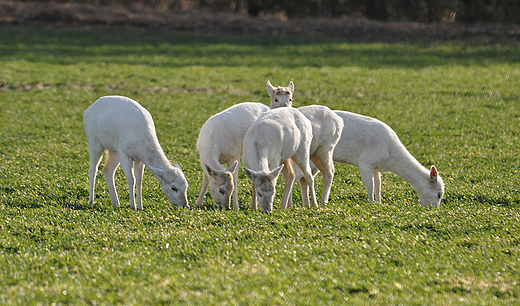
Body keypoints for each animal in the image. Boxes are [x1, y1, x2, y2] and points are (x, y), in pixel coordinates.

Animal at [294, 110, 444, 208]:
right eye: (439, 194)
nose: (433, 209)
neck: (391, 159)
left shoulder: (377, 167)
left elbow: (378, 184)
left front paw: (379, 202)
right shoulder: (365, 161)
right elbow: (369, 184)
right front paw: (372, 203)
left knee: (304, 179)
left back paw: (306, 204)